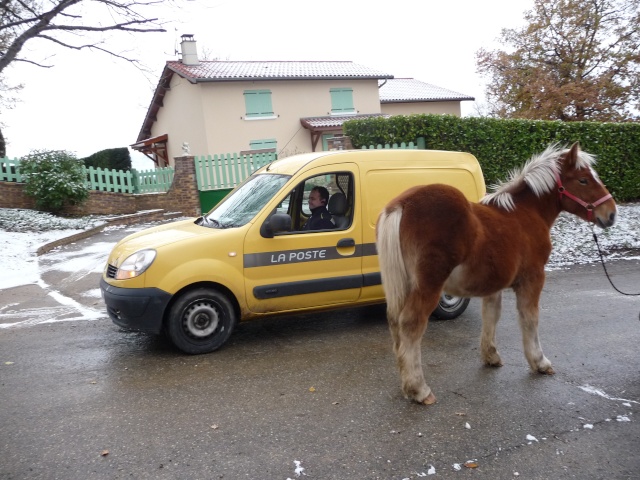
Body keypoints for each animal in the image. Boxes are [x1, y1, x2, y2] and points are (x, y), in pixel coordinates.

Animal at [378, 143, 616, 404]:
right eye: (583, 180)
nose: (611, 214)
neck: (526, 213)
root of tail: (401, 205)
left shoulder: (493, 284)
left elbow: (491, 315)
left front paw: (491, 356)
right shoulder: (533, 278)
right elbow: (530, 318)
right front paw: (539, 362)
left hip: (402, 286)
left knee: (395, 323)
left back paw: (406, 384)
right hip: (428, 286)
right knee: (411, 324)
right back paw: (419, 389)